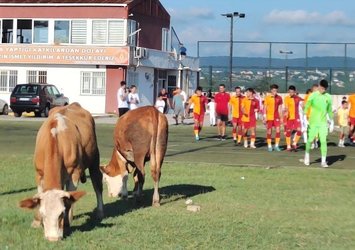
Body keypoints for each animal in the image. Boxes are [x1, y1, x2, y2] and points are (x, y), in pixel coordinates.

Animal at [18, 102, 103, 241]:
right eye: (43, 214)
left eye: (61, 214)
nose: (52, 239)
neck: (55, 138)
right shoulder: (39, 173)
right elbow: (38, 196)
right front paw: (36, 222)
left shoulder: (74, 173)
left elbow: (69, 200)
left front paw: (67, 223)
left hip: (94, 158)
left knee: (97, 183)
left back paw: (100, 212)